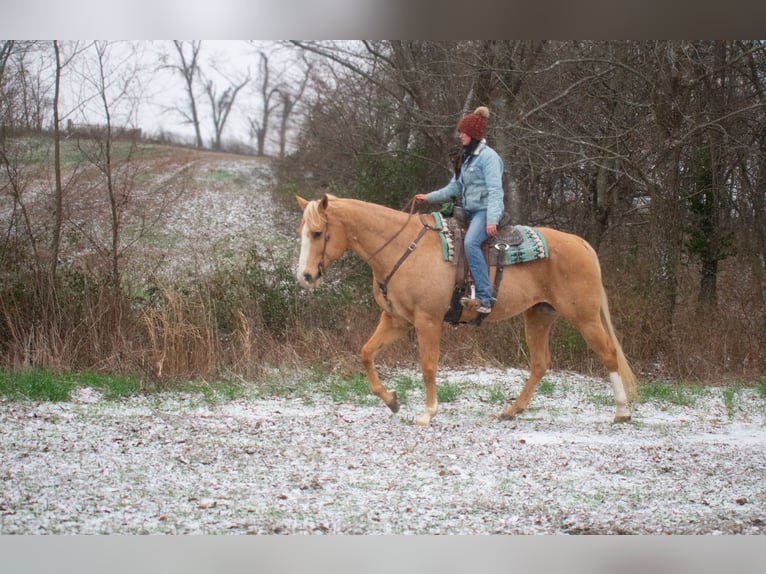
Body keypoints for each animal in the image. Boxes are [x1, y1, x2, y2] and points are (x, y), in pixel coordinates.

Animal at [296, 197, 640, 428]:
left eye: (317, 233)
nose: (305, 276)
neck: (403, 248)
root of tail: (581, 244)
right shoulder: (397, 320)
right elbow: (366, 353)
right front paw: (392, 401)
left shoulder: (428, 321)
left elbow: (428, 367)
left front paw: (427, 413)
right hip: (539, 315)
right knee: (540, 363)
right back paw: (511, 411)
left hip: (584, 317)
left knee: (608, 353)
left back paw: (622, 412)